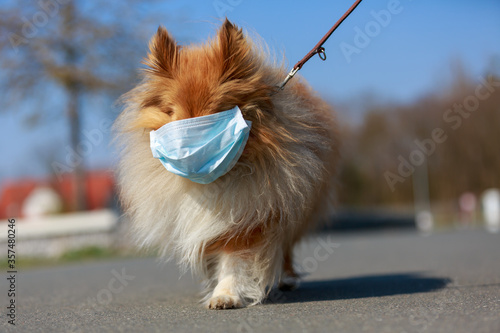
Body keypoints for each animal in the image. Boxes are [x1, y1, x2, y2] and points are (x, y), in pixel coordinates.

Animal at [114, 18, 340, 308]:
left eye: (217, 111)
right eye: (172, 112)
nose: (188, 148)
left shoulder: (250, 214)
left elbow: (235, 259)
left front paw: (226, 294)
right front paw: (217, 286)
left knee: (285, 246)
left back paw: (285, 278)